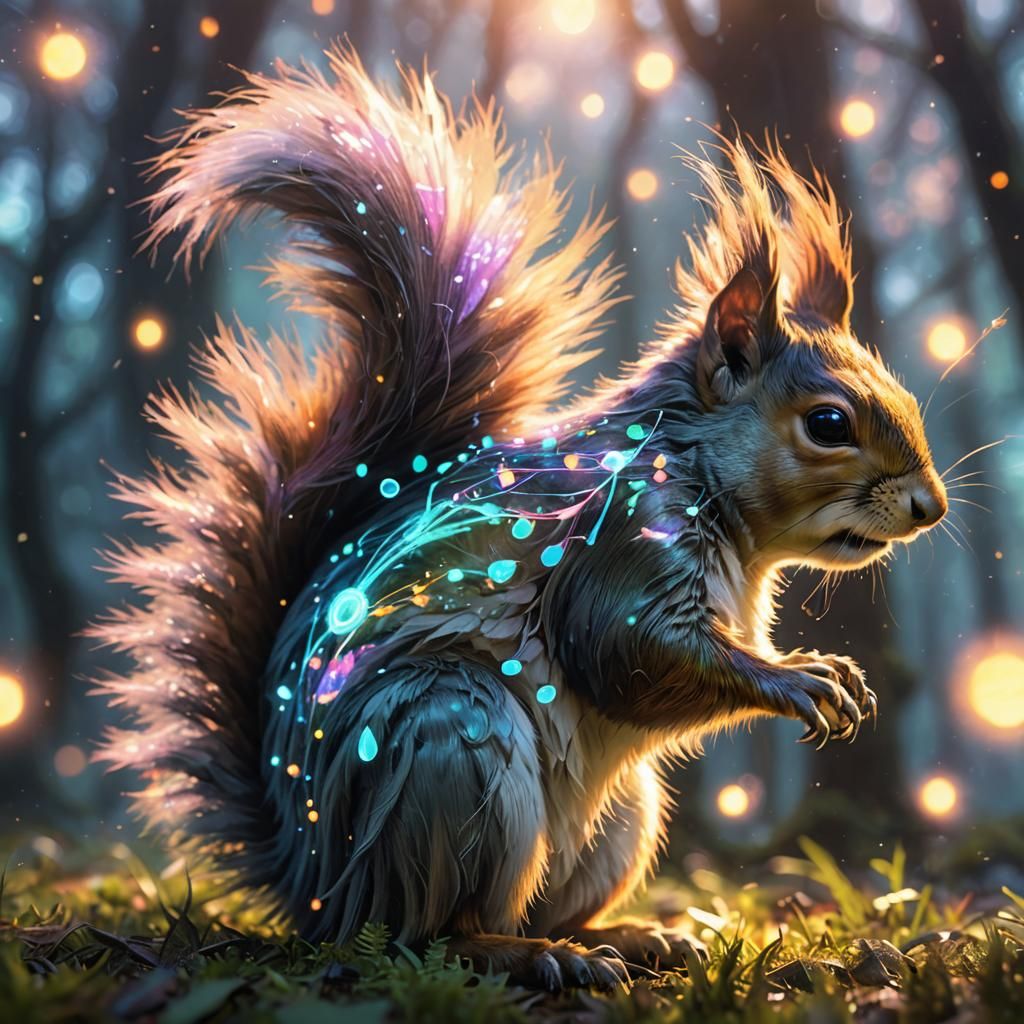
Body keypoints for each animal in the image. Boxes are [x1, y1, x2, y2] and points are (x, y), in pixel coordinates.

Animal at [94, 47, 947, 990]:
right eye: (828, 423)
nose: (931, 508)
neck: (695, 472)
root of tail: (311, 880)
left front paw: (831, 672)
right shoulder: (621, 540)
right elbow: (624, 651)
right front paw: (800, 677)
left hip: (621, 817)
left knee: (550, 906)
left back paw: (631, 939)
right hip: (449, 749)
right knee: (426, 932)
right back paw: (529, 955)